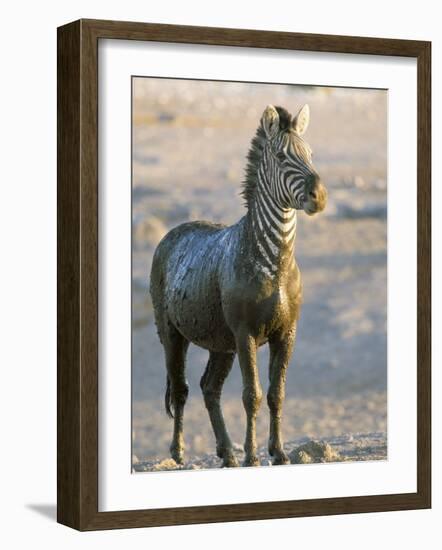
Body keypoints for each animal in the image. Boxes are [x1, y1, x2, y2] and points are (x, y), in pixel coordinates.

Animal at [150, 104, 326, 470]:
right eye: (281, 156)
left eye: (311, 154)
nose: (320, 197)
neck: (276, 264)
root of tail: (174, 232)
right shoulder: (246, 333)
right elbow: (252, 395)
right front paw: (253, 456)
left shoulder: (287, 332)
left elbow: (276, 393)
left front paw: (279, 453)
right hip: (171, 332)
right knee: (181, 388)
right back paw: (179, 452)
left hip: (221, 342)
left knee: (209, 387)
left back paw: (227, 453)